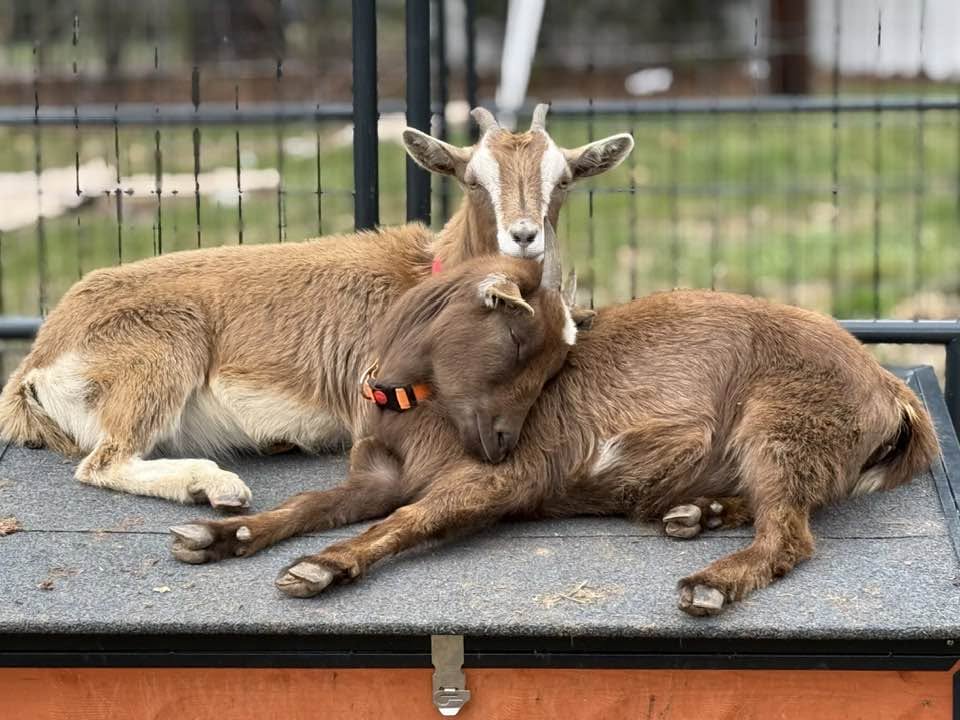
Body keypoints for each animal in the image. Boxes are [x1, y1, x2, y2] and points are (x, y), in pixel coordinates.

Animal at [0, 106, 634, 508]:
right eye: (472, 179)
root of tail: (37, 361)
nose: (523, 238)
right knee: (104, 461)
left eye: (564, 180)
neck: (426, 275)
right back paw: (215, 486)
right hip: (161, 352)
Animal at [169, 223, 939, 615]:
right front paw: (226, 534)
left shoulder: (498, 482)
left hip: (782, 424)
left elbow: (406, 520)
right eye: (518, 346)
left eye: (549, 365)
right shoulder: (375, 478)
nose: (503, 441)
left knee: (791, 536)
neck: (416, 412)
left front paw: (325, 566)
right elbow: (306, 502)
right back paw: (700, 511)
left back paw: (714, 579)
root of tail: (890, 391)